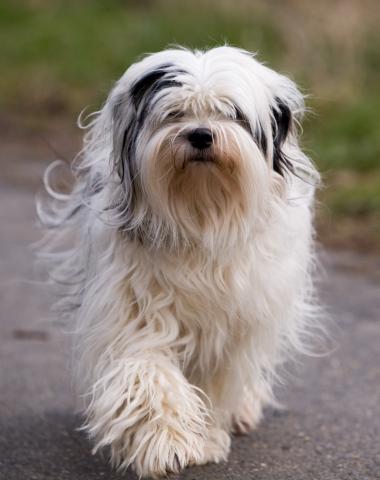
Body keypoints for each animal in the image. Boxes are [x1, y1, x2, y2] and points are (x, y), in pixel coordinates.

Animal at [38, 46, 320, 476]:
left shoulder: (234, 320)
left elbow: (215, 379)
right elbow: (148, 370)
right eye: (175, 113)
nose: (201, 134)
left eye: (232, 113)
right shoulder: (134, 307)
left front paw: (208, 435)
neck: (201, 212)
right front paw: (167, 441)